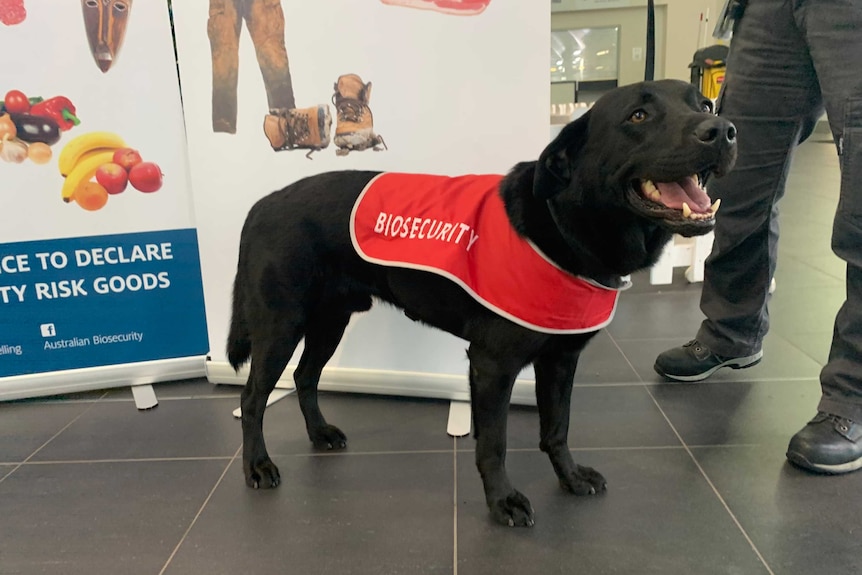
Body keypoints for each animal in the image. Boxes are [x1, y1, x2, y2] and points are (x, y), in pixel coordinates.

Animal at [228, 80, 736, 528]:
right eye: (639, 115)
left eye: (705, 105)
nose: (724, 130)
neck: (560, 223)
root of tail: (261, 206)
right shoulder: (493, 365)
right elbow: (493, 443)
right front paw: (503, 501)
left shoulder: (560, 361)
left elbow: (557, 428)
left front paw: (570, 477)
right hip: (280, 326)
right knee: (253, 397)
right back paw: (257, 466)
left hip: (330, 320)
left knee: (305, 376)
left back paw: (319, 433)